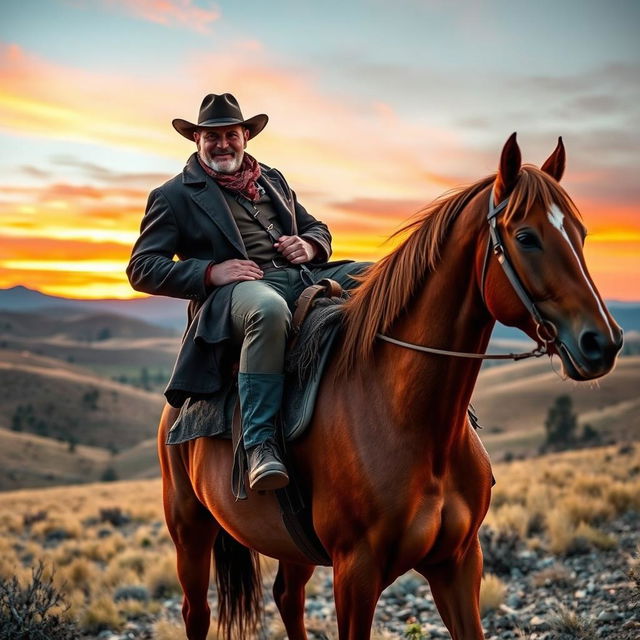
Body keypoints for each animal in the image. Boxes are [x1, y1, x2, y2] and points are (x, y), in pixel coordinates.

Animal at [158, 132, 624, 636]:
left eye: (580, 233)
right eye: (526, 237)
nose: (603, 342)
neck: (410, 419)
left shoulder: (459, 563)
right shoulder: (356, 575)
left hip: (290, 545)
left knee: (287, 596)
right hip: (190, 530)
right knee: (197, 612)